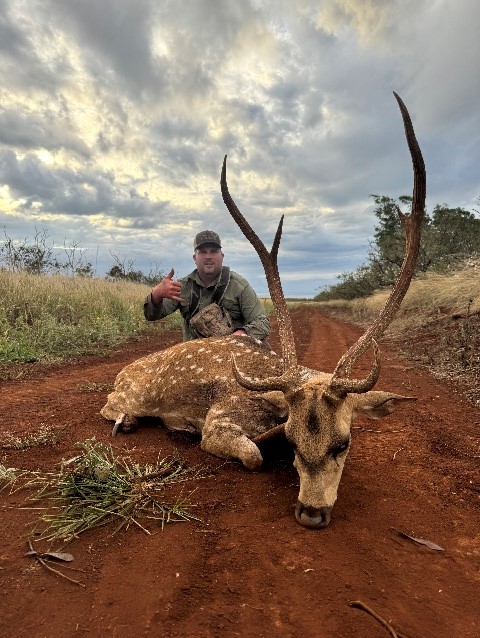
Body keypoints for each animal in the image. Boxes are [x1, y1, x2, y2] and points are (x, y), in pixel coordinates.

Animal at [101, 92, 425, 529]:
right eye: (292, 441)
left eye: (344, 443)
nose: (311, 514)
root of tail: (122, 371)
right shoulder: (219, 420)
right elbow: (253, 454)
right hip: (128, 394)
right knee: (111, 406)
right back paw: (130, 421)